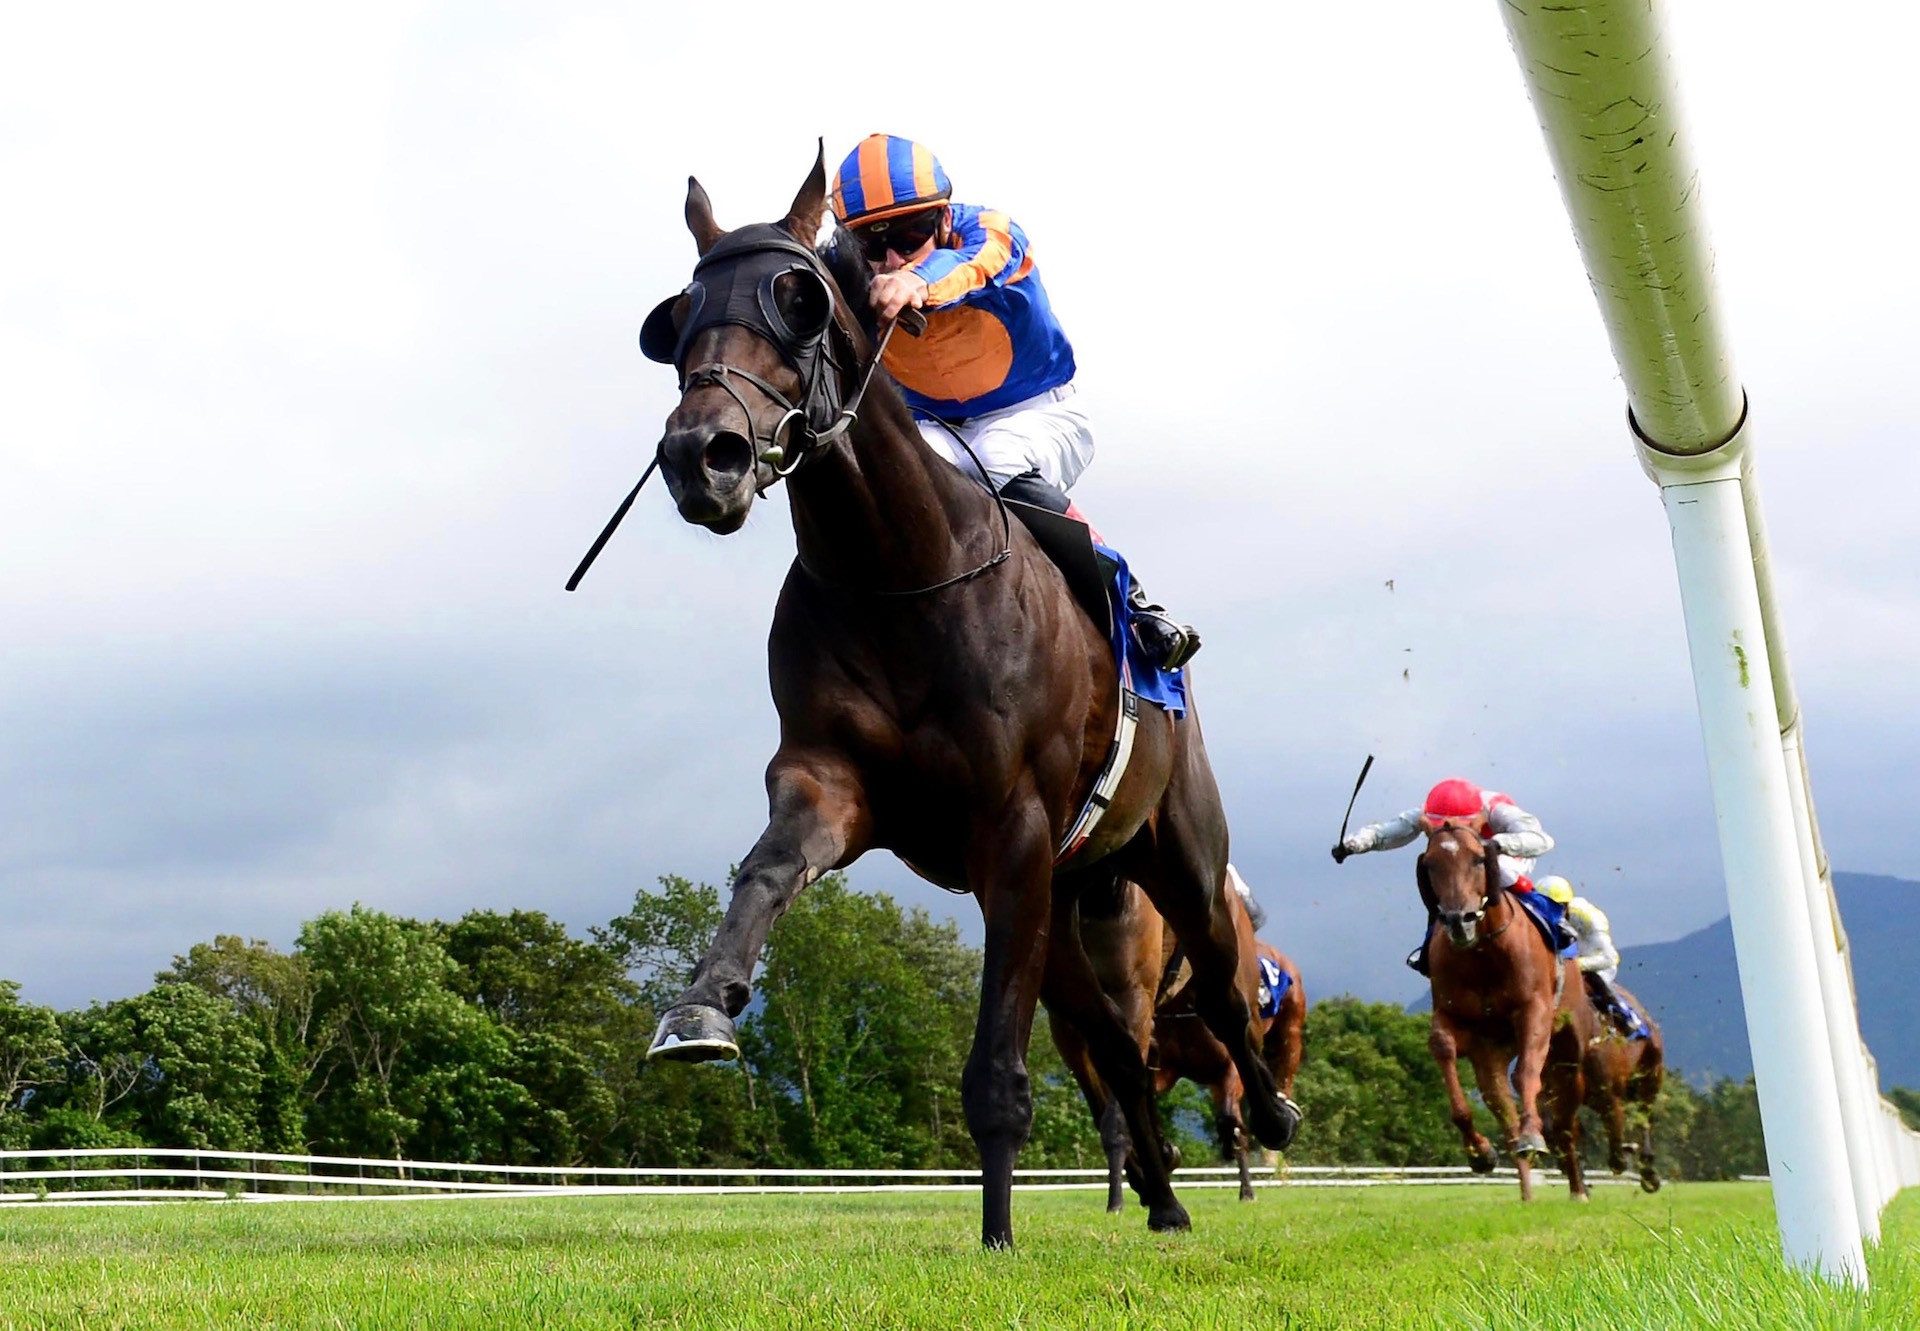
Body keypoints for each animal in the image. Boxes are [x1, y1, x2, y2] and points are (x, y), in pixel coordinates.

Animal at [1052, 874, 1305, 1209]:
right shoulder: (1072, 1029)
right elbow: (1115, 1106)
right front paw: (1148, 1173)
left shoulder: (1137, 999)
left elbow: (1230, 1119)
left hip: (1283, 1027)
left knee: (1267, 1064)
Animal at [1419, 822, 1596, 1201]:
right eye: (1430, 864)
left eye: (1477, 859)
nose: (1459, 921)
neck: (1483, 952)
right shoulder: (1456, 1020)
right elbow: (1443, 1049)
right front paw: (1479, 1152)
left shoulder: (1534, 1011)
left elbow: (1526, 1074)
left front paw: (1533, 1135)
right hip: (1493, 1059)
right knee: (1505, 1110)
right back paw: (1527, 1191)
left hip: (1568, 1055)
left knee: (1565, 1123)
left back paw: (1576, 1187)